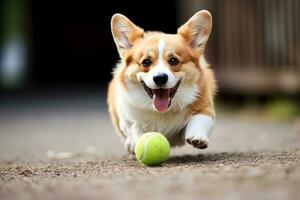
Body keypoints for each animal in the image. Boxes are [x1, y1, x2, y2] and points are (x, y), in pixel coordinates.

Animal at [108, 10, 216, 154]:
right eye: (146, 62)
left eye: (173, 61)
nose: (160, 78)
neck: (162, 111)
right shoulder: (126, 116)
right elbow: (135, 126)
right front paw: (137, 140)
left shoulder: (205, 106)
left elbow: (200, 118)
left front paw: (197, 137)